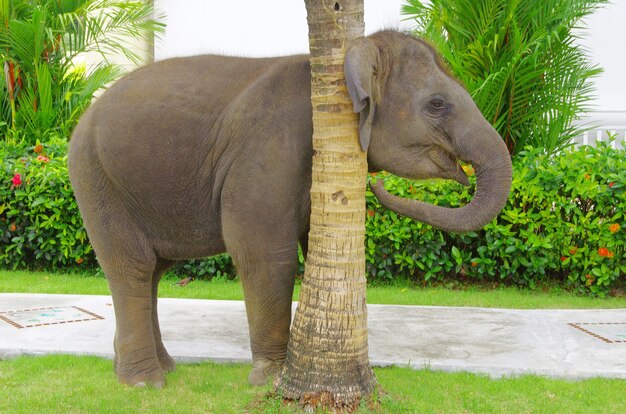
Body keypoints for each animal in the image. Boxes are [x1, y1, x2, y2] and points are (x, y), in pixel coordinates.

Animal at [66, 31, 510, 388]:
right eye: (437, 104)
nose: (376, 184)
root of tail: (85, 115)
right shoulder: (271, 149)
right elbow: (263, 253)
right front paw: (269, 379)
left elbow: (311, 244)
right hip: (97, 178)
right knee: (134, 267)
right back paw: (144, 383)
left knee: (156, 271)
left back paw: (161, 368)